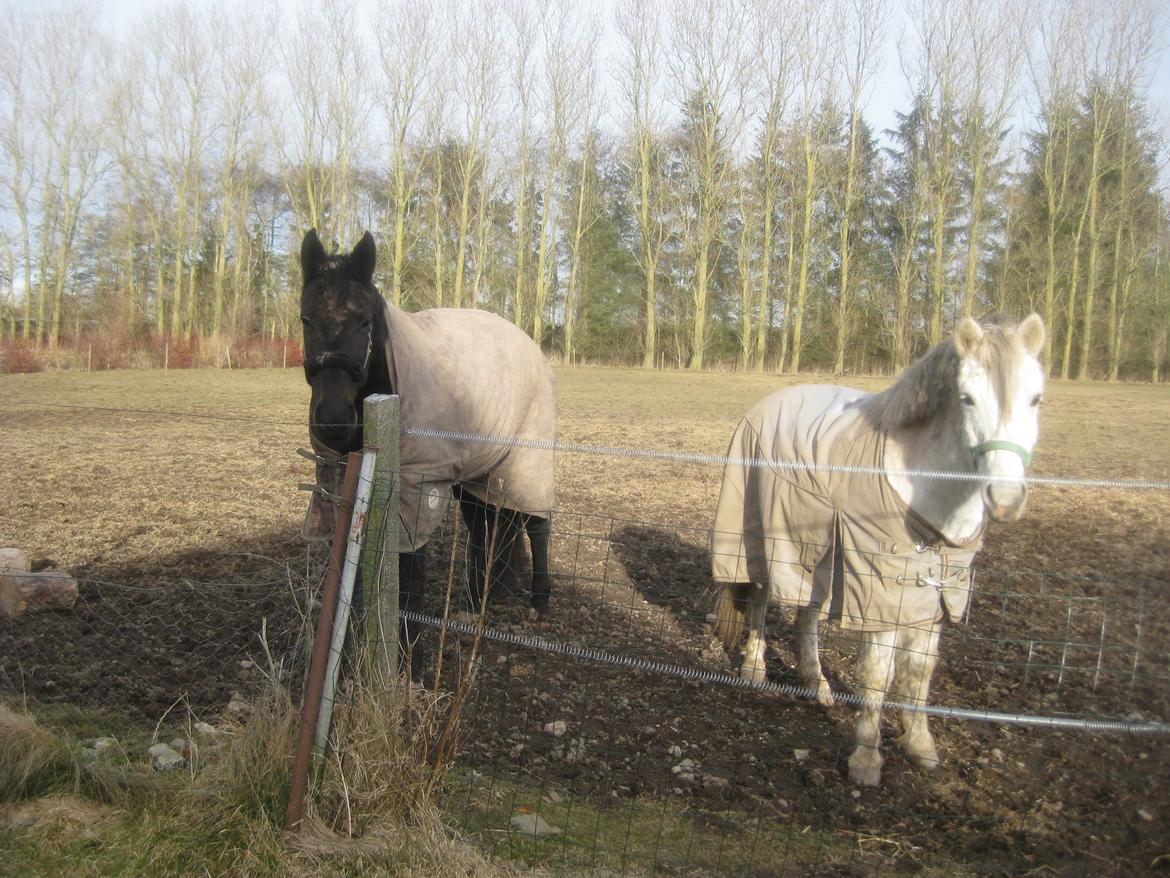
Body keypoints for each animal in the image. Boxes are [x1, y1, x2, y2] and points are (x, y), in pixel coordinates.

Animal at [299, 230, 559, 678]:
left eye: (364, 321)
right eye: (305, 319)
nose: (333, 420)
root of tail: (530, 346)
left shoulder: (417, 492)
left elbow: (411, 581)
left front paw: (412, 665)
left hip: (529, 462)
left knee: (536, 526)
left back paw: (539, 601)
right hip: (477, 477)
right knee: (486, 530)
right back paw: (476, 600)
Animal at [706, 313, 1048, 786]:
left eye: (1035, 398)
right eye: (967, 399)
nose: (1006, 500)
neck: (924, 486)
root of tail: (768, 402)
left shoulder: (935, 590)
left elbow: (919, 671)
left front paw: (919, 744)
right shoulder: (882, 588)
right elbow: (877, 673)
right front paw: (866, 759)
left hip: (821, 548)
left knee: (807, 613)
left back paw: (816, 684)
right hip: (762, 535)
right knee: (760, 598)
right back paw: (755, 671)